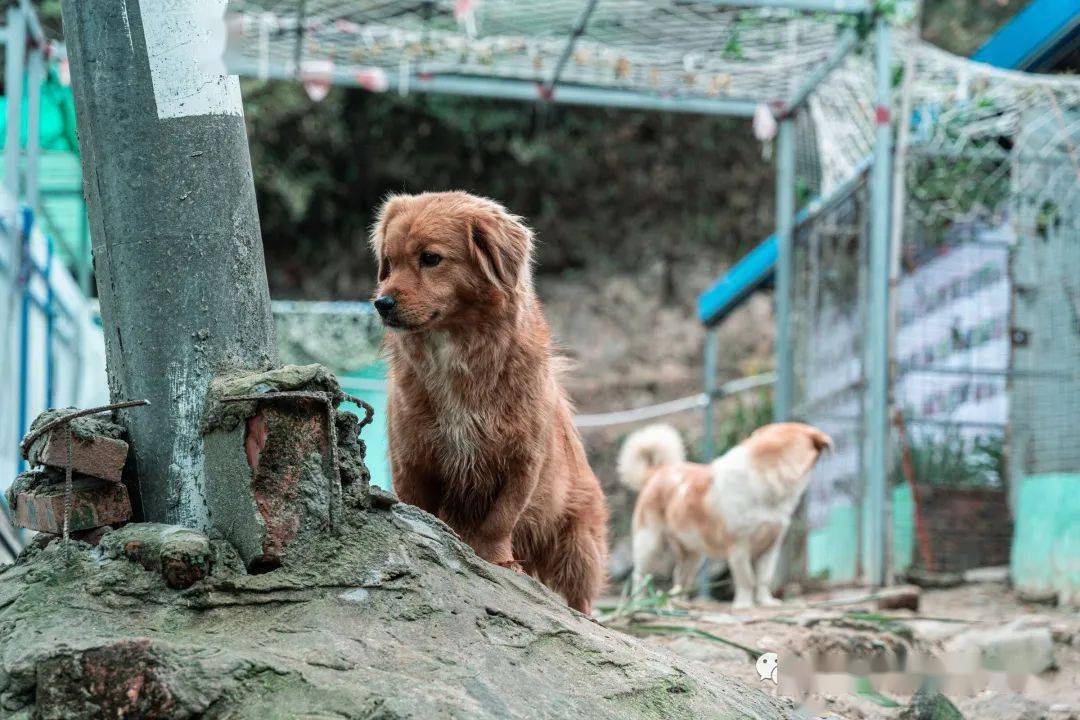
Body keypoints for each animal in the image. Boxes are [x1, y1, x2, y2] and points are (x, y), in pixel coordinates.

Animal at [369, 191, 609, 613]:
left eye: (430, 258)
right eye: (390, 262)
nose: (382, 302)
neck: (456, 355)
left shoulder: (522, 462)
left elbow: (501, 518)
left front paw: (498, 560)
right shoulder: (413, 460)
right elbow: (421, 512)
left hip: (577, 547)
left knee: (578, 602)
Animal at [617, 423, 833, 608]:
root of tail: (659, 471)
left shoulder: (770, 547)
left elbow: (763, 578)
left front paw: (766, 602)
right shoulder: (739, 547)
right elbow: (747, 579)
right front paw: (744, 605)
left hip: (693, 555)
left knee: (681, 577)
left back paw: (680, 603)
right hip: (649, 544)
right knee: (639, 576)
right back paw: (638, 604)